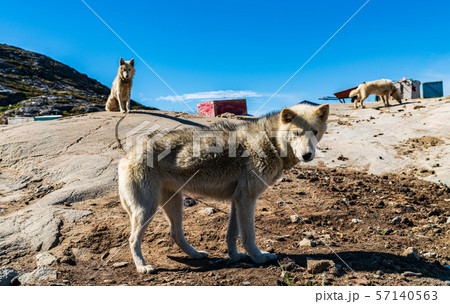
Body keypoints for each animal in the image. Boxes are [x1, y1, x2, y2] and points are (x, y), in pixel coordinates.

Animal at [118, 102, 330, 274]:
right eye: (296, 133)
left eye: (315, 132)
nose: (307, 155)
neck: (270, 143)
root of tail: (126, 156)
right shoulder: (247, 200)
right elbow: (249, 237)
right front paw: (259, 258)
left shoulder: (237, 201)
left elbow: (231, 235)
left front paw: (234, 257)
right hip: (147, 210)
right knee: (133, 240)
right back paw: (142, 267)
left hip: (174, 204)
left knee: (176, 234)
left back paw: (196, 254)